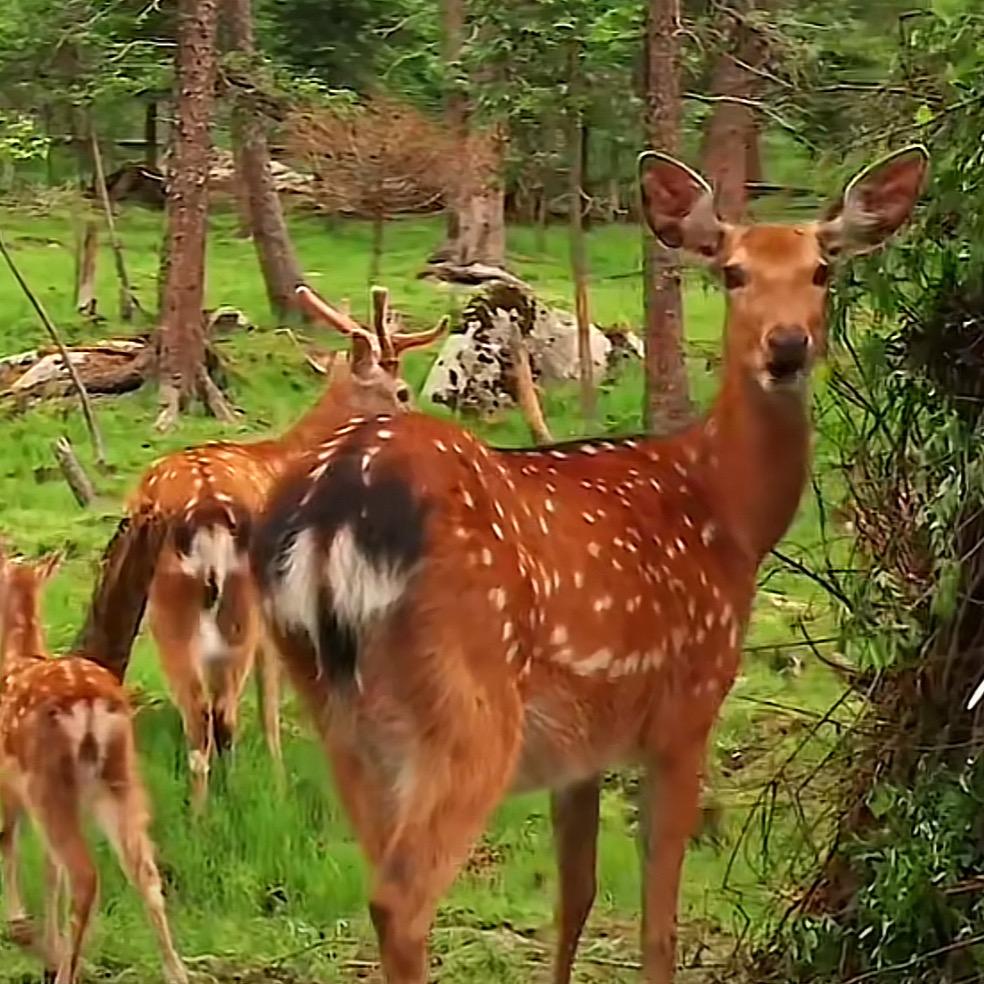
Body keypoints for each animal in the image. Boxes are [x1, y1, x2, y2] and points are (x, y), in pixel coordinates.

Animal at [0, 546, 188, 984]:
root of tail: (90, 705)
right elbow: (48, 869)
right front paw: (49, 946)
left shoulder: (7, 780)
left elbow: (8, 840)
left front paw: (18, 924)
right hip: (120, 776)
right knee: (145, 871)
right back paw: (177, 972)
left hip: (49, 781)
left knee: (85, 876)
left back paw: (67, 972)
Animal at [76, 284, 446, 810]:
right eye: (401, 392)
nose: (422, 430)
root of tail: (205, 510)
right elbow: (271, 698)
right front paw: (278, 774)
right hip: (239, 599)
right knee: (221, 713)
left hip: (168, 602)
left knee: (199, 715)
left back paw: (200, 811)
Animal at [248, 145, 928, 983]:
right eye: (732, 271)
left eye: (823, 269)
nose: (788, 346)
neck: (729, 512)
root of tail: (329, 519)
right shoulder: (687, 704)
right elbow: (657, 923)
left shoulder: (579, 752)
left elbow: (574, 898)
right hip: (469, 705)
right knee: (400, 900)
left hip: (338, 714)